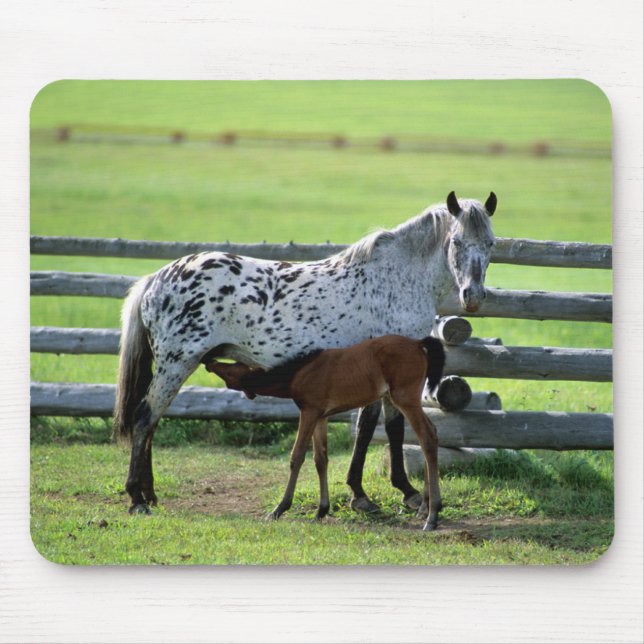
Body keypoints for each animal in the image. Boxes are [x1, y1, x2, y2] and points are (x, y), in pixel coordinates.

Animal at [206, 334, 446, 531]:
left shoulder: (309, 412)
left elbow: (297, 456)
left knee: (427, 436)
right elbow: (320, 459)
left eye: (230, 369)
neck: (300, 372)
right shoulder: (320, 416)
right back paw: (425, 507)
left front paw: (279, 508)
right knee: (430, 433)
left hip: (405, 398)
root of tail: (417, 343)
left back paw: (432, 515)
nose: (209, 361)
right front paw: (321, 510)